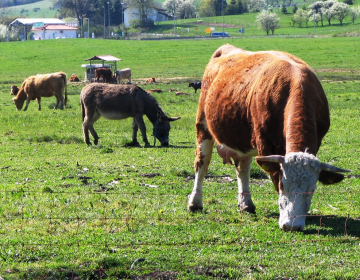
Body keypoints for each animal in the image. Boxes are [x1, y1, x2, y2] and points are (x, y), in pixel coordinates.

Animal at [187, 44, 350, 232]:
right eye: (283, 185)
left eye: (312, 189)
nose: (292, 226)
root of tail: (227, 48)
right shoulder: (266, 145)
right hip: (203, 125)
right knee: (202, 164)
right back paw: (195, 203)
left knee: (243, 168)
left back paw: (246, 204)